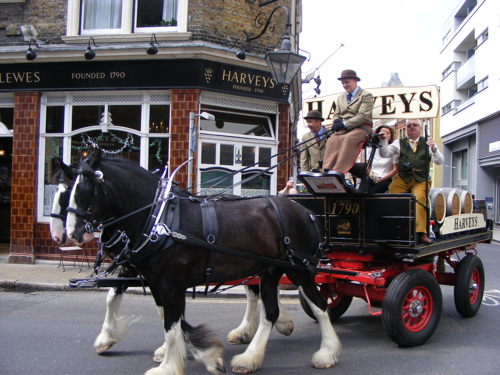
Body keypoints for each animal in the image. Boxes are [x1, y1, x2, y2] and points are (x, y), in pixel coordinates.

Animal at [65, 151, 340, 375]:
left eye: (84, 190)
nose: (71, 234)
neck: (160, 220)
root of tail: (306, 211)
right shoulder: (156, 282)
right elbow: (168, 318)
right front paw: (198, 353)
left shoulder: (171, 284)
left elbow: (172, 325)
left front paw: (169, 366)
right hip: (270, 270)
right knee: (269, 311)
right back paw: (250, 357)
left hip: (298, 270)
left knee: (319, 305)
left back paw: (327, 352)